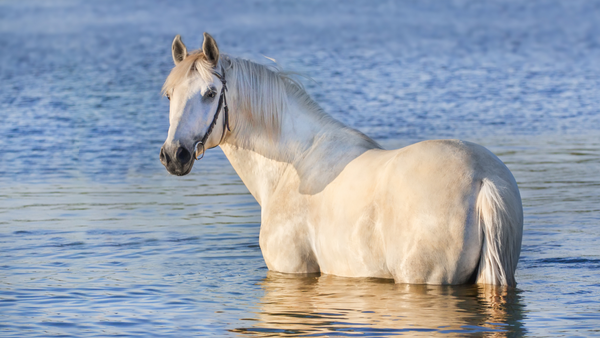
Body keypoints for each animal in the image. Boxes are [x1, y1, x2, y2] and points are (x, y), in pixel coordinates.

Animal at [158, 32, 520, 286]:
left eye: (210, 93)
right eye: (169, 95)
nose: (174, 155)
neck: (293, 165)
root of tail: (483, 180)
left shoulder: (293, 271)